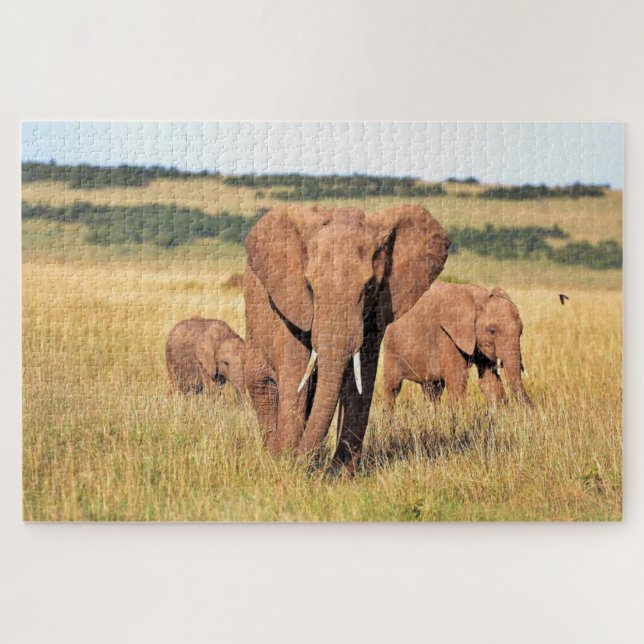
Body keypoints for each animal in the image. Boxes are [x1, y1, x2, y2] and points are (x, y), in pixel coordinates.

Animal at [243, 203, 449, 472]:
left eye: (370, 287)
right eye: (309, 286)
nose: (299, 459)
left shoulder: (376, 312)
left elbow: (361, 379)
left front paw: (340, 473)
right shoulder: (290, 302)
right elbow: (295, 373)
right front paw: (287, 463)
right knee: (263, 385)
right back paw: (273, 454)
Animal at [382, 281, 530, 410]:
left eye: (521, 331)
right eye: (492, 330)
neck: (478, 298)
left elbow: (489, 382)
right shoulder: (447, 335)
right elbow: (458, 380)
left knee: (432, 390)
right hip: (391, 347)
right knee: (392, 387)